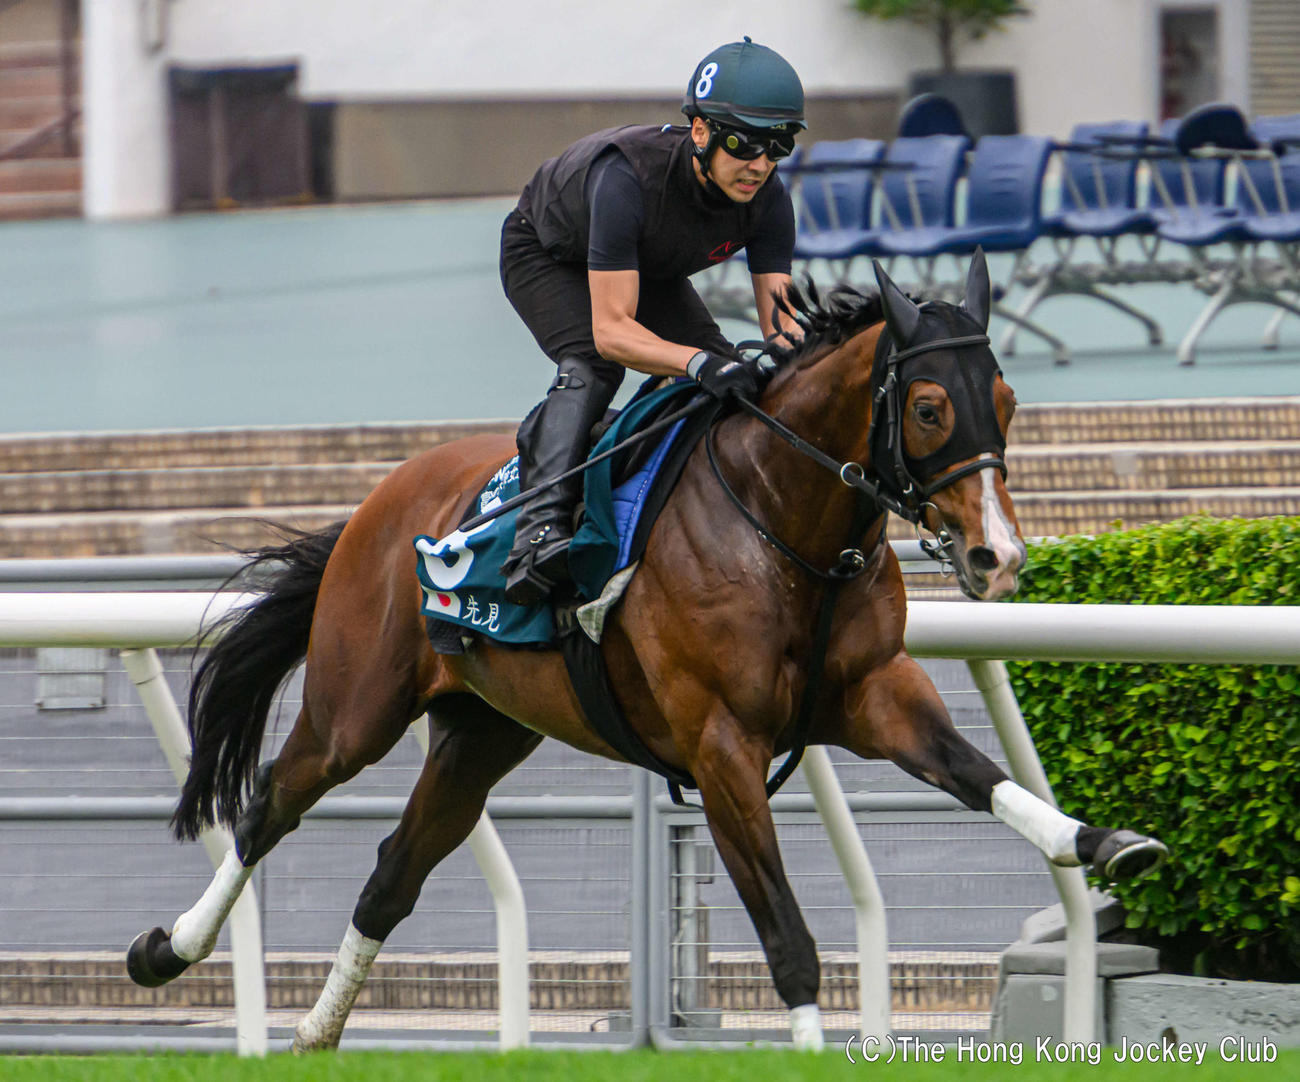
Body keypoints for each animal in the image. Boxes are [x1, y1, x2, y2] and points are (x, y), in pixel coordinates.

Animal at [125, 254, 1167, 1052]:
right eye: (925, 408)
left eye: (1006, 399)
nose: (1000, 556)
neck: (784, 523)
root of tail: (376, 505)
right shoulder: (721, 748)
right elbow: (785, 932)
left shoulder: (875, 695)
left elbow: (979, 774)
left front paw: (1106, 842)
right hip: (358, 706)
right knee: (269, 804)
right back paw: (168, 950)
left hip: (482, 733)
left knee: (391, 876)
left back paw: (316, 1032)